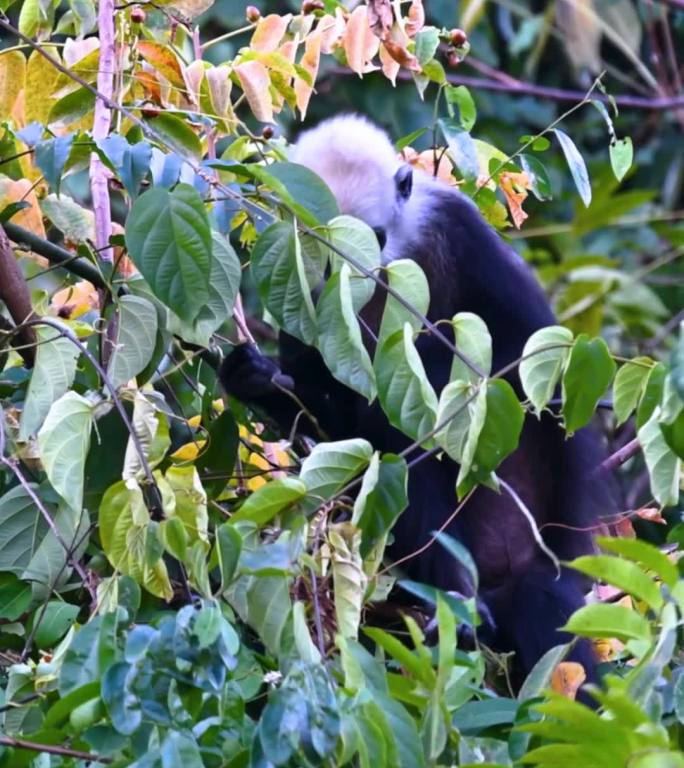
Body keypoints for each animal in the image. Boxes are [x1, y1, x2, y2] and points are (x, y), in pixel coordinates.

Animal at [220, 112, 616, 688]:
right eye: (322, 242)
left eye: (375, 237)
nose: (352, 273)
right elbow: (329, 418)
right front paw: (257, 378)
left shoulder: (455, 223)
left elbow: (531, 358)